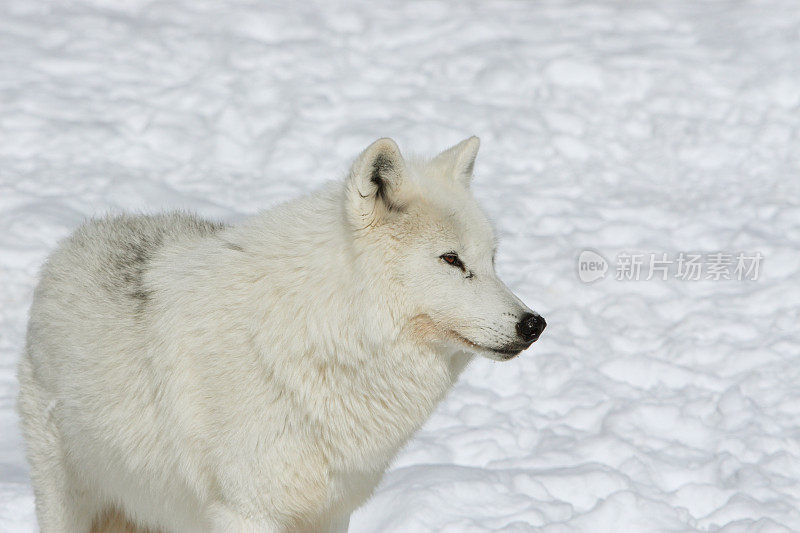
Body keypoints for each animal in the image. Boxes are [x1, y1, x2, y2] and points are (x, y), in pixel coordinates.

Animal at [17, 138, 544, 532]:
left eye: (492, 260)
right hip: (66, 499)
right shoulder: (246, 512)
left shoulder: (331, 513)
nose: (533, 324)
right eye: (451, 259)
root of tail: (74, 240)